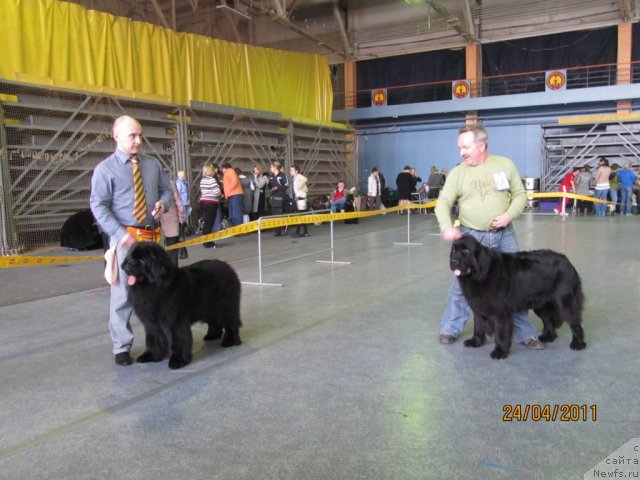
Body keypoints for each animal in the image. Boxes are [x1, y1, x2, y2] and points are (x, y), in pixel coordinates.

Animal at [121, 242, 241, 370]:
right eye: (131, 257)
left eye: (142, 260)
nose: (127, 266)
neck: (153, 286)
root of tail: (227, 266)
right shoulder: (151, 323)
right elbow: (153, 339)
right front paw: (151, 356)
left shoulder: (175, 322)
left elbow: (178, 340)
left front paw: (178, 360)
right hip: (210, 307)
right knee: (215, 322)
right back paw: (212, 335)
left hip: (225, 306)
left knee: (231, 323)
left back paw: (230, 341)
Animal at [450, 234, 584, 358]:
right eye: (454, 251)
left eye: (466, 251)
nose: (453, 262)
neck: (480, 274)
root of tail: (566, 260)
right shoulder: (478, 307)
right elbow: (478, 326)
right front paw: (475, 342)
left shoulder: (500, 313)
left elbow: (500, 332)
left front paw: (500, 352)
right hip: (541, 303)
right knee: (547, 319)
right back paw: (548, 336)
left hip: (565, 301)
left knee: (575, 322)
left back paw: (578, 344)